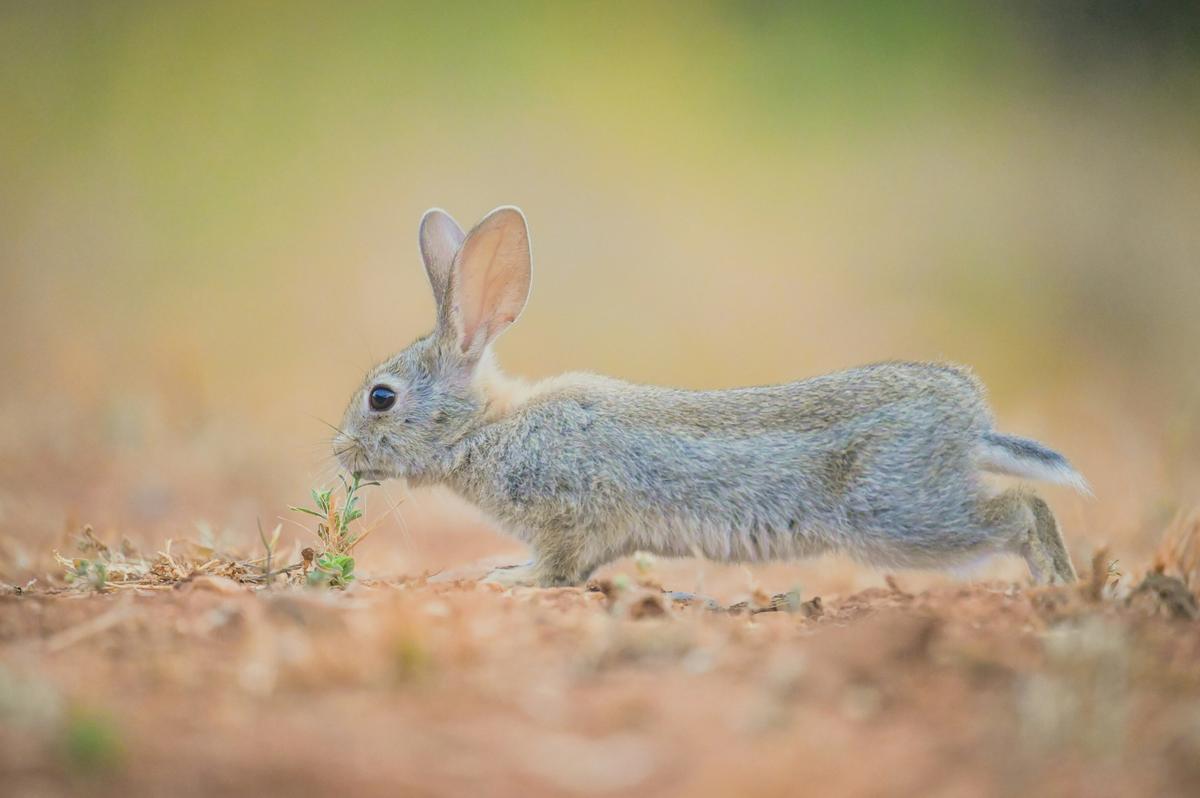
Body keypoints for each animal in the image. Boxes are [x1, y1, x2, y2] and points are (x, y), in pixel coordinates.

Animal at [331, 205, 1089, 588]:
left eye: (381, 398)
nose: (340, 454)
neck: (483, 427)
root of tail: (970, 423)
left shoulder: (570, 519)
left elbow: (557, 570)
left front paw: (501, 579)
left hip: (899, 514)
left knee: (1024, 510)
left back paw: (1058, 586)